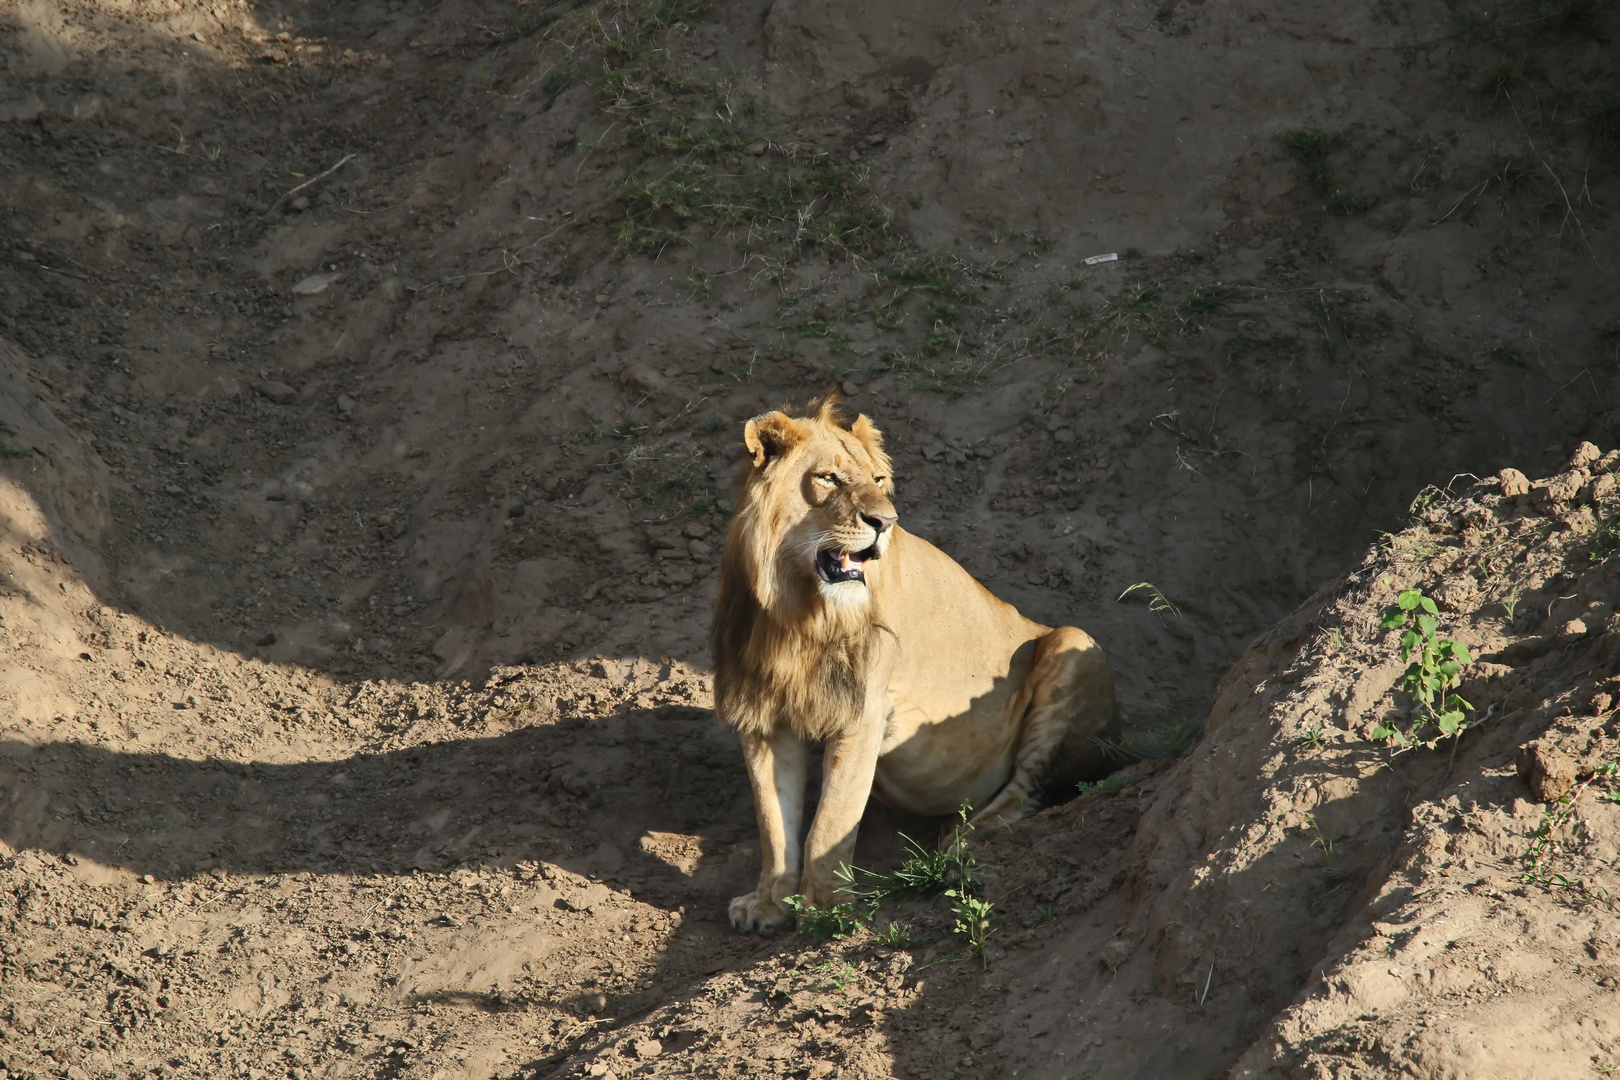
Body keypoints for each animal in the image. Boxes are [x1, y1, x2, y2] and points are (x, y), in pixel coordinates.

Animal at [716, 393, 1121, 932]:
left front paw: (825, 910)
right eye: (830, 478)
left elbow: (831, 820)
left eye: (878, 480)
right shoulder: (763, 718)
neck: (796, 612)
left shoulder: (862, 713)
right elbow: (774, 821)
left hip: (1074, 642)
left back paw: (961, 839)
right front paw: (768, 904)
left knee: (1027, 792)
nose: (884, 523)